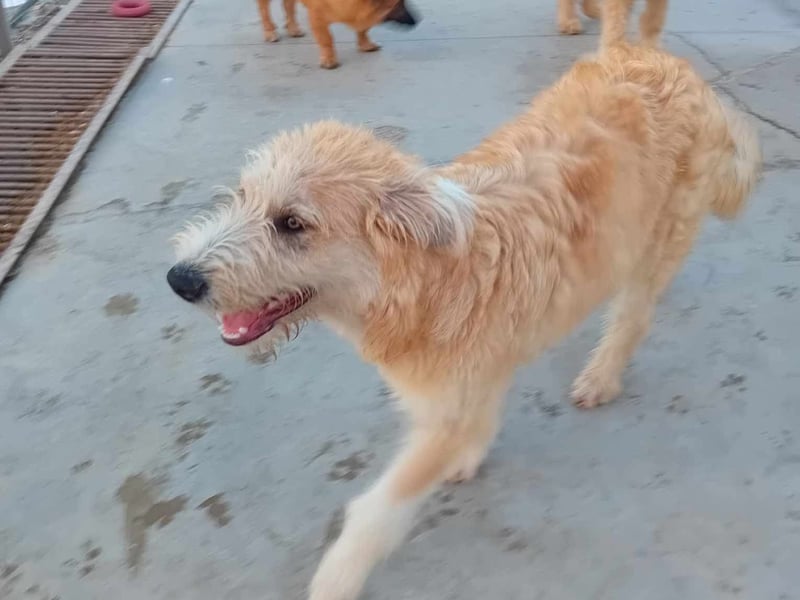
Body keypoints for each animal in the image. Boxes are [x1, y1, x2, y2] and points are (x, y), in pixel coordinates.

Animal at [255, 0, 418, 69]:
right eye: (398, 5)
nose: (417, 21)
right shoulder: (317, 17)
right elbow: (326, 39)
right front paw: (329, 59)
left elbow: (363, 29)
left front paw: (365, 44)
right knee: (264, 10)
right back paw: (270, 31)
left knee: (288, 5)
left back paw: (293, 28)